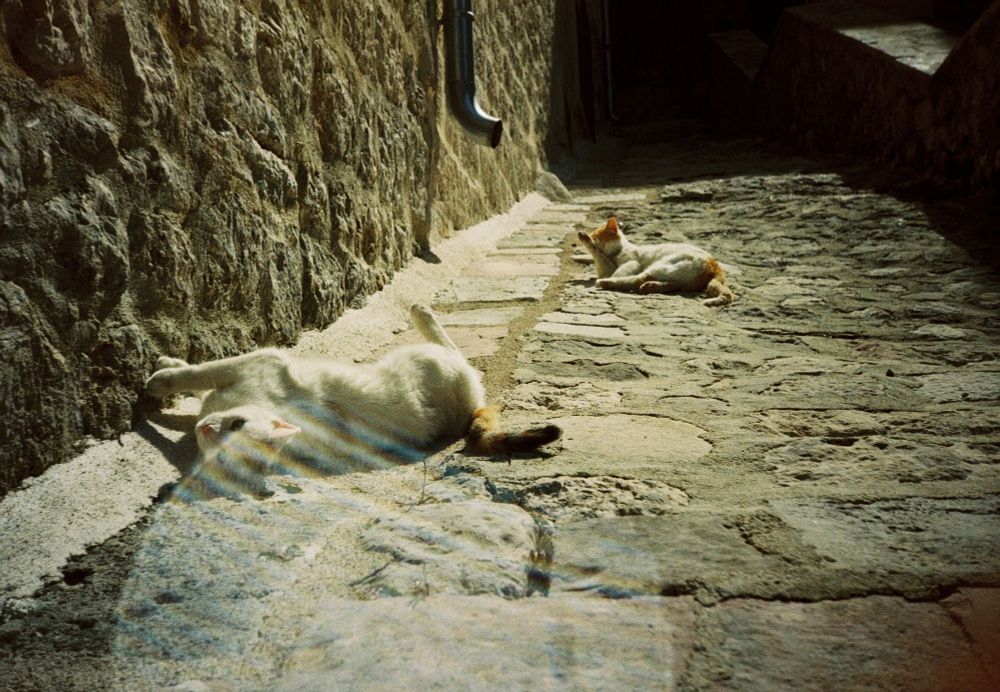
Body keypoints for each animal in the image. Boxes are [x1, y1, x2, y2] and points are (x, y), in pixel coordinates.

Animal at [144, 304, 561, 493]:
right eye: (219, 455)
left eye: (237, 426)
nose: (206, 428)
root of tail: (472, 407)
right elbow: (202, 382)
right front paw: (172, 368)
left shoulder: (263, 362)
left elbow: (200, 372)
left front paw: (161, 377)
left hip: (425, 358)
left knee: (451, 346)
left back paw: (421, 312)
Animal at [578, 216, 735, 307]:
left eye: (596, 236)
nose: (591, 236)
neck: (617, 253)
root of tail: (715, 265)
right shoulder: (605, 268)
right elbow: (600, 258)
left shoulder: (631, 263)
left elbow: (603, 258)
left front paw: (586, 239)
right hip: (675, 274)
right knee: (673, 285)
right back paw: (651, 286)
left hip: (662, 265)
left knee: (636, 280)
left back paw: (606, 283)